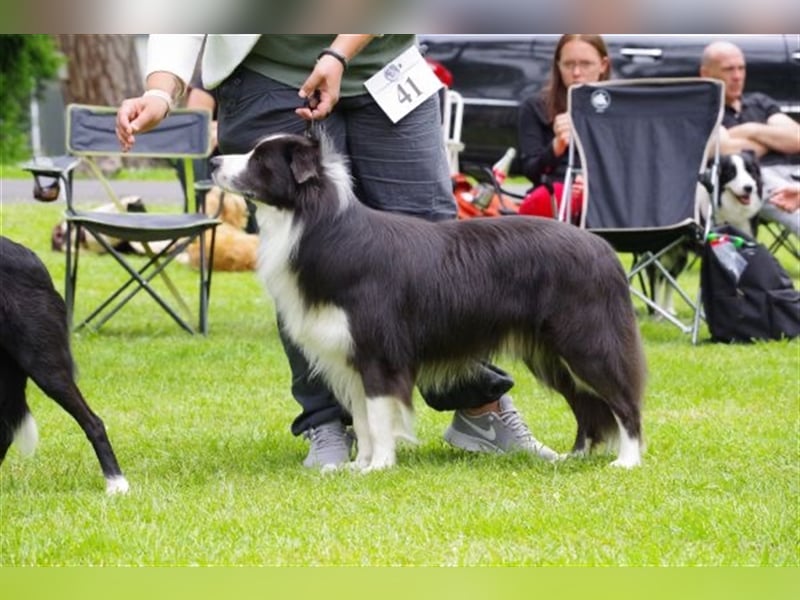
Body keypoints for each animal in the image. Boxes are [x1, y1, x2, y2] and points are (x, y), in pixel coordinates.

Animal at [211, 136, 644, 474]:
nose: (213, 161)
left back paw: (627, 460)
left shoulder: (379, 351)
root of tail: (603, 248)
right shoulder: (350, 356)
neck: (312, 222)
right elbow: (363, 418)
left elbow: (380, 415)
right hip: (555, 355)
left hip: (586, 339)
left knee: (623, 398)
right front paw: (358, 465)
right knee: (587, 403)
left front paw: (379, 466)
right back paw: (576, 456)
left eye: (260, 160)